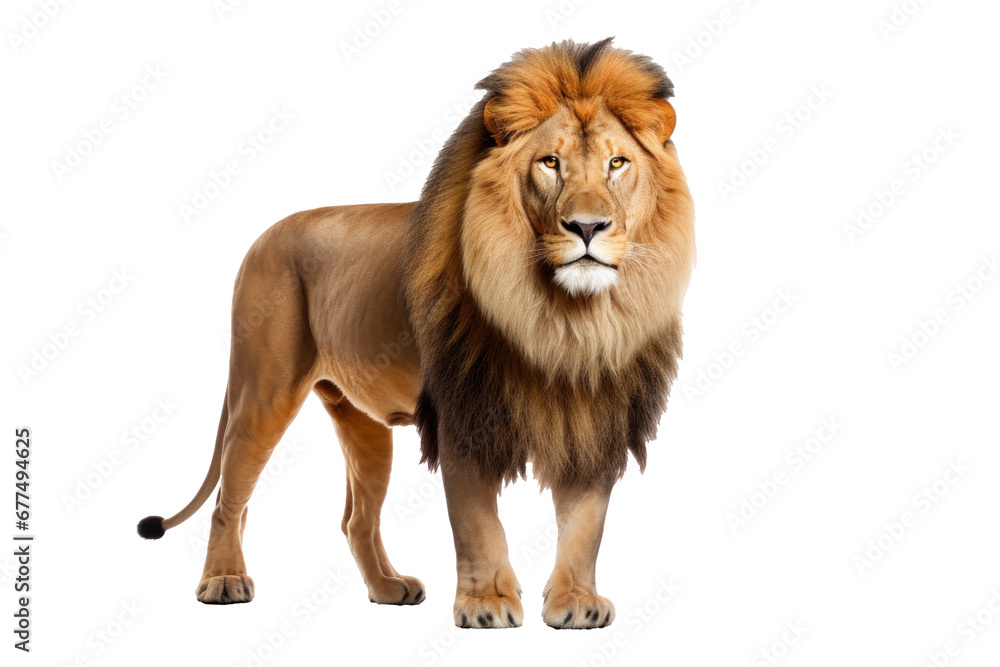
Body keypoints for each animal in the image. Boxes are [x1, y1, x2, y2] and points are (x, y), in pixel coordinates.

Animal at [137, 38, 695, 630]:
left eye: (617, 163)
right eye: (551, 163)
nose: (588, 227)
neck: (567, 318)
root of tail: (262, 236)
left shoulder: (596, 414)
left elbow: (586, 524)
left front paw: (575, 602)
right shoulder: (463, 411)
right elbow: (477, 522)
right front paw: (486, 604)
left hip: (363, 425)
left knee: (355, 519)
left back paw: (388, 588)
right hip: (263, 391)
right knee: (230, 500)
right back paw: (223, 582)